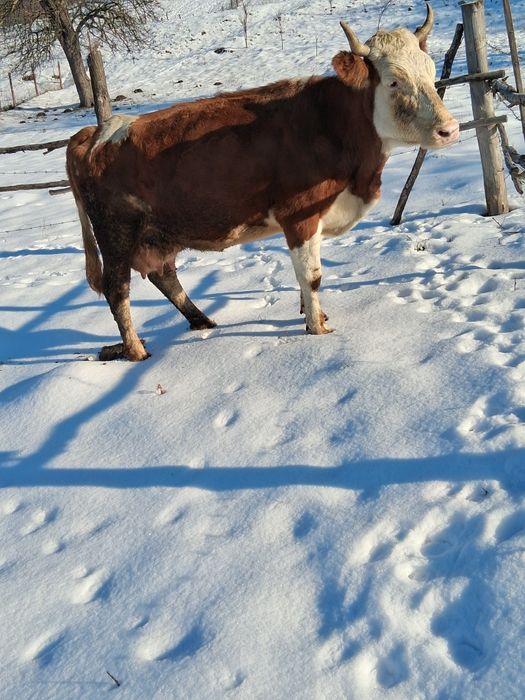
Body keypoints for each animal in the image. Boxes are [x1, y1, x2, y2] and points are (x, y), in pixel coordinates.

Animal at [66, 3, 458, 361]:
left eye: (430, 71)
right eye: (393, 81)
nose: (449, 129)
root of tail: (97, 131)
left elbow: (305, 277)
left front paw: (314, 316)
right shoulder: (299, 214)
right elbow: (311, 275)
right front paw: (318, 331)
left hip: (158, 235)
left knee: (165, 275)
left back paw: (202, 321)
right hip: (116, 235)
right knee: (118, 290)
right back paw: (136, 351)